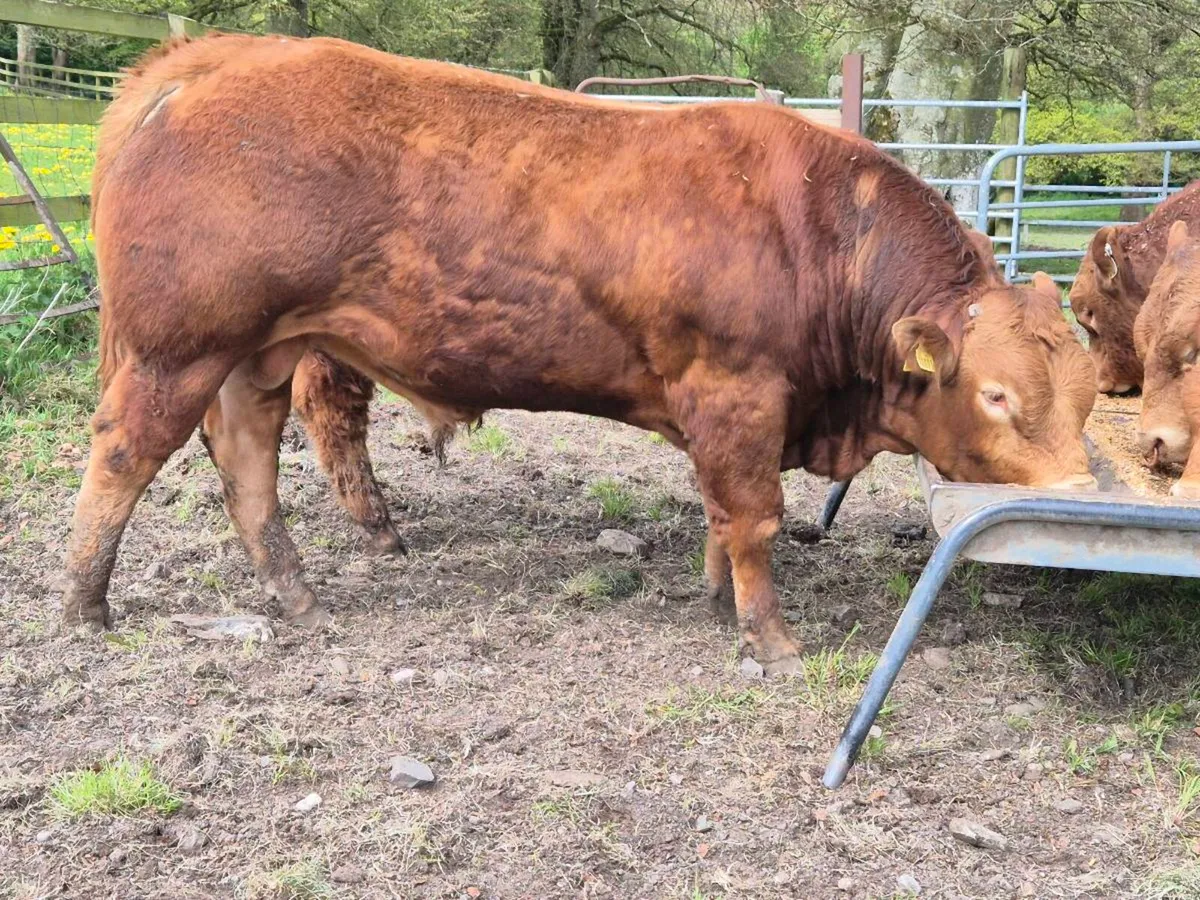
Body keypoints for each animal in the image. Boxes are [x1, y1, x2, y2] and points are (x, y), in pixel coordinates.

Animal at [58, 34, 1097, 672]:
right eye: (998, 396)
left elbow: (719, 515)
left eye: (1086, 393)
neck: (815, 232)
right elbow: (753, 518)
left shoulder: (722, 413)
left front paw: (715, 601)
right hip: (177, 349)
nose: (1080, 493)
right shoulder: (737, 392)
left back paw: (299, 596)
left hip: (259, 355)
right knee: (121, 455)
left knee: (248, 467)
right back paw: (85, 604)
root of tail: (210, 59)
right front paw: (769, 638)